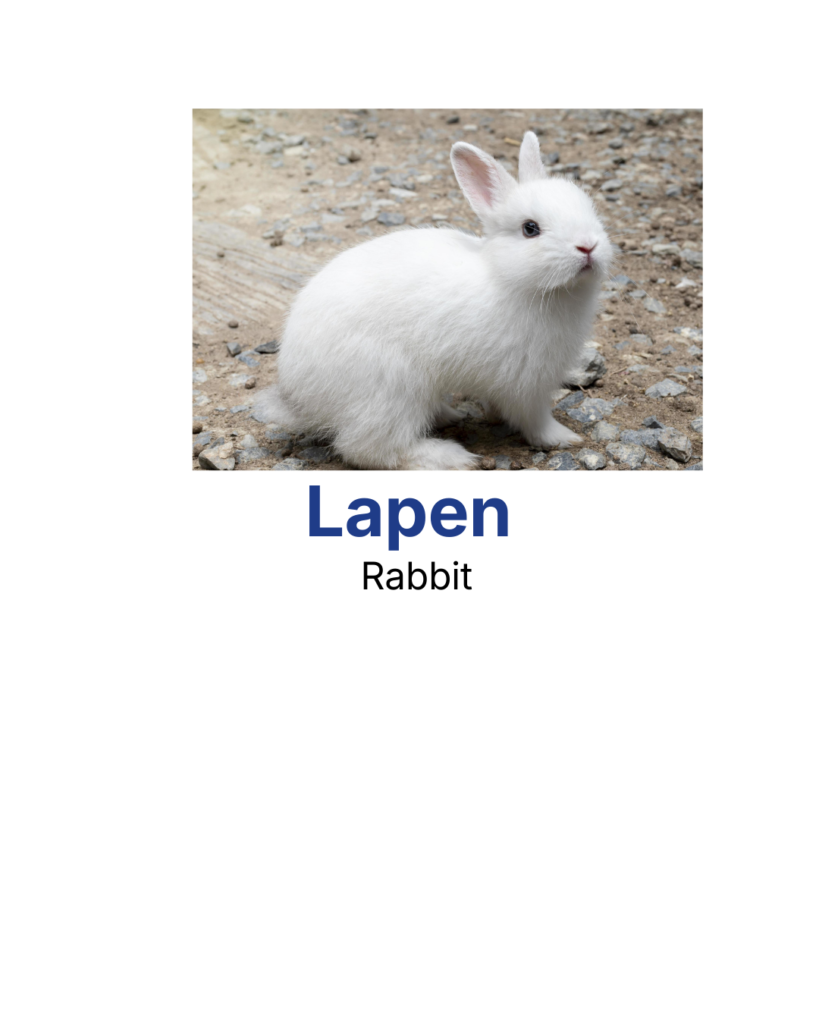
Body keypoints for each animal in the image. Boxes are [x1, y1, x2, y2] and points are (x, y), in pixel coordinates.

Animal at [253, 131, 614, 469]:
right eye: (530, 228)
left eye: (590, 209)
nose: (588, 246)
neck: (508, 278)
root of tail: (298, 396)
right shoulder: (525, 383)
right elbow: (534, 419)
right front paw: (564, 438)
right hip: (390, 391)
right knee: (368, 449)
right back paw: (450, 457)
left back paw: (449, 416)